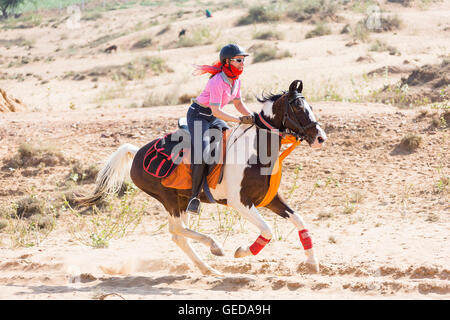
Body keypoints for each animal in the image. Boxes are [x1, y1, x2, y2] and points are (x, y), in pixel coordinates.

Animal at [78, 79, 326, 276]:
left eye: (311, 107)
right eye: (298, 108)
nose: (320, 137)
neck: (255, 151)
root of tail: (137, 151)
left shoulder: (270, 199)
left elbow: (300, 222)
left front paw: (312, 264)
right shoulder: (240, 203)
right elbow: (267, 230)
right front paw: (242, 251)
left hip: (181, 200)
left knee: (178, 235)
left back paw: (208, 269)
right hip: (169, 199)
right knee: (176, 230)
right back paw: (214, 247)